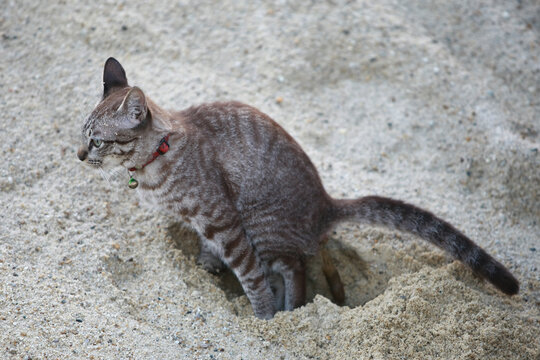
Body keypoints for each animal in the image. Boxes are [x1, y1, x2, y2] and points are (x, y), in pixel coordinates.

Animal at [78, 57, 520, 320]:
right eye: (83, 135)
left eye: (97, 141)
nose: (80, 155)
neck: (158, 156)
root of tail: (327, 204)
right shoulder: (207, 225)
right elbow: (210, 251)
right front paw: (206, 268)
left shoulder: (224, 222)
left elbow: (252, 278)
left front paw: (264, 317)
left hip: (260, 226)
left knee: (293, 268)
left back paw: (290, 309)